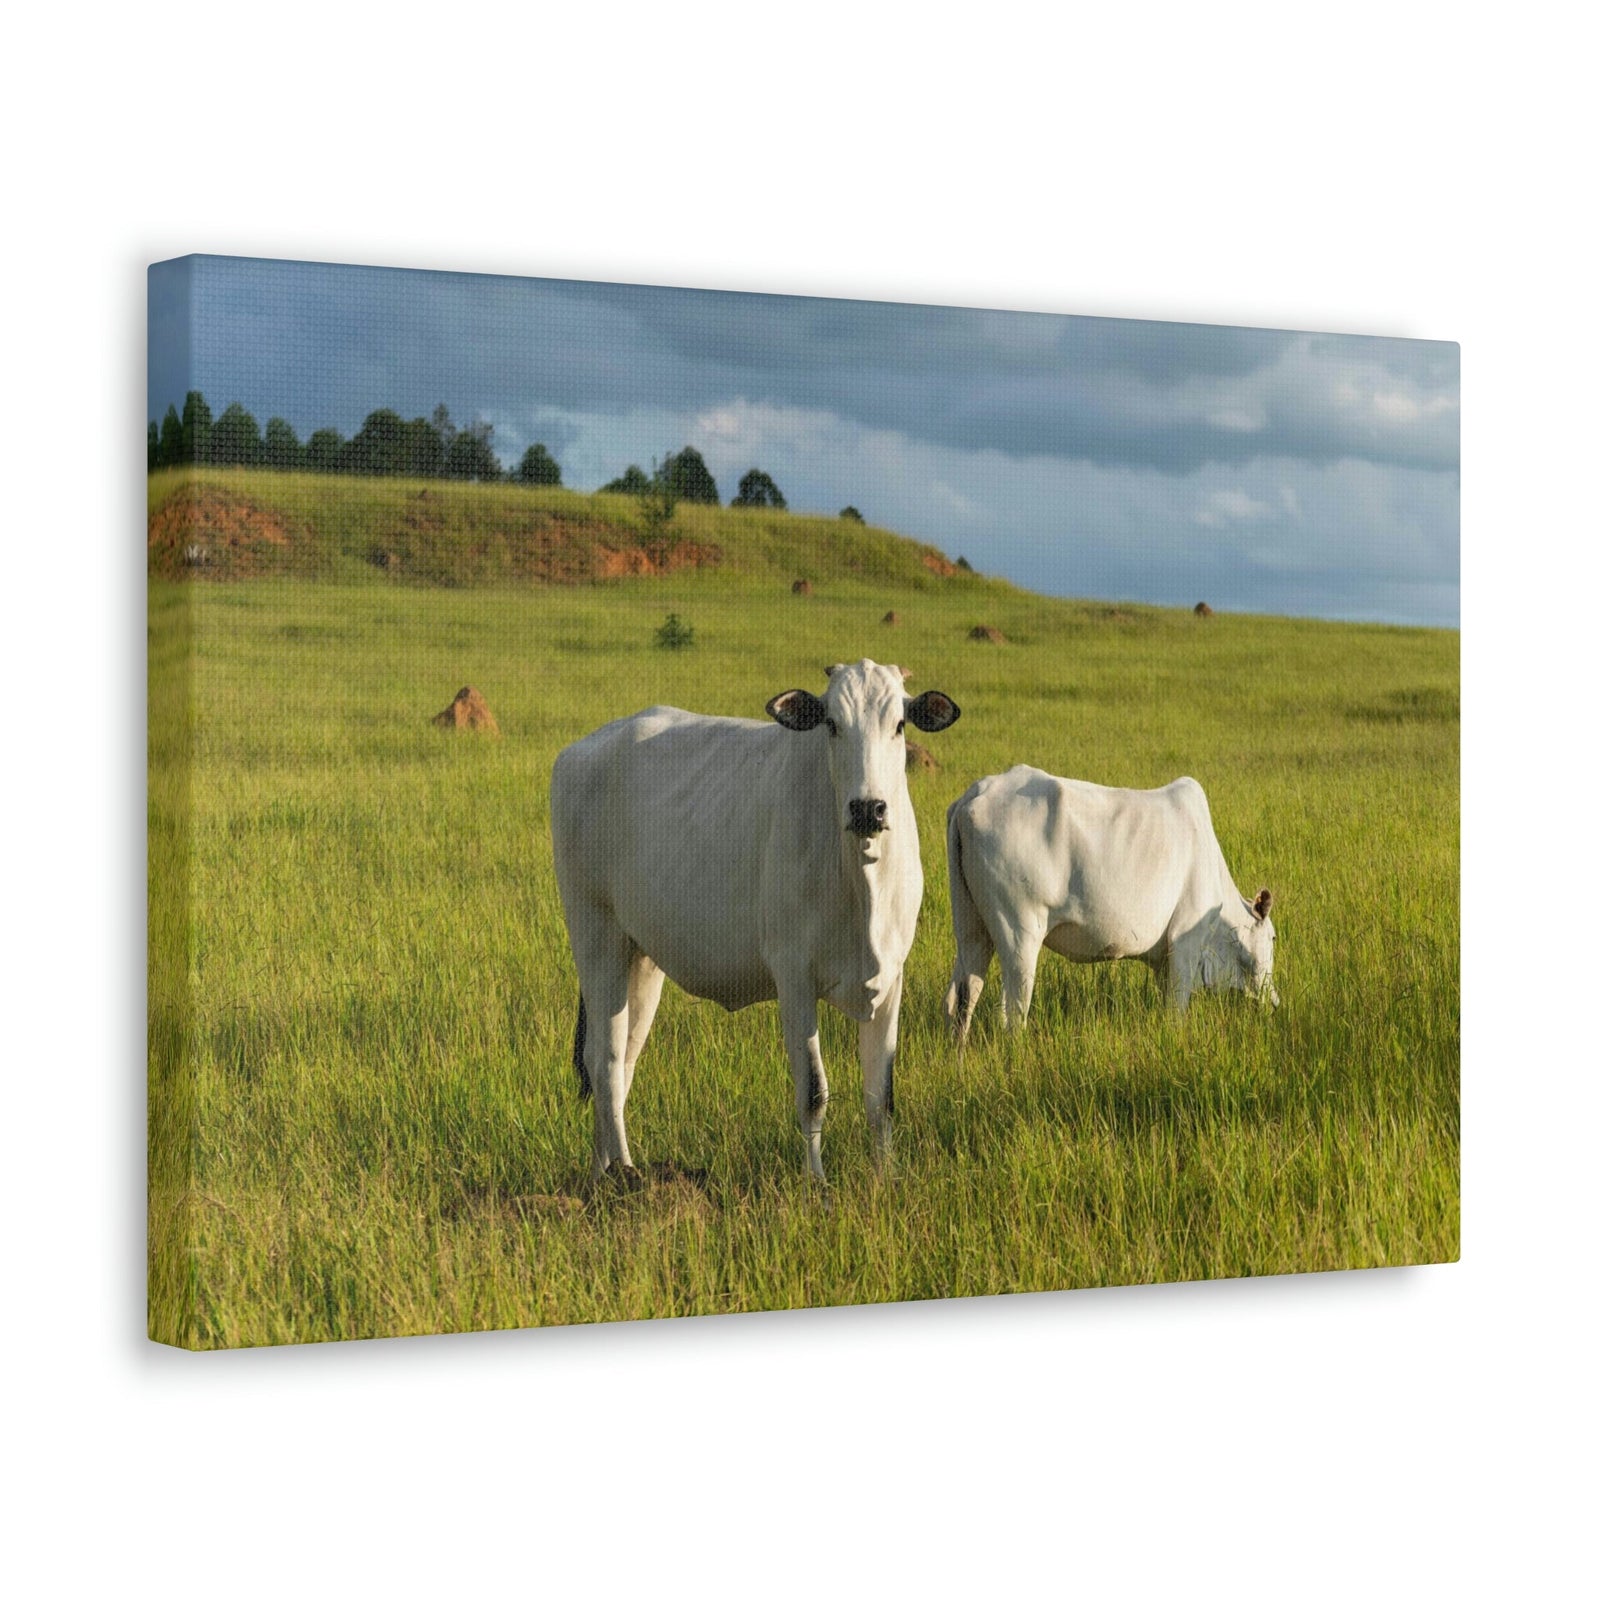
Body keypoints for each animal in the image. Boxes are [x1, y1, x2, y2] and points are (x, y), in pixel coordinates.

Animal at [551, 659, 961, 1186]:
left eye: (899, 725)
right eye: (832, 723)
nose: (868, 808)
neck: (860, 876)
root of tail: (583, 750)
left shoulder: (891, 978)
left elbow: (881, 1097)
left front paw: (885, 1178)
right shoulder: (794, 978)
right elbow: (813, 1092)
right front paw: (816, 1183)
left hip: (639, 957)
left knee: (621, 1060)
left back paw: (602, 1174)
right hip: (594, 935)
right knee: (603, 1060)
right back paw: (625, 1174)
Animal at [943, 766, 1277, 1041]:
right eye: (1273, 937)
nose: (1274, 1002)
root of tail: (976, 793)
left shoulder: (1165, 959)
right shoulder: (1185, 942)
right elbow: (1176, 1007)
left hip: (971, 927)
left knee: (961, 997)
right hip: (1019, 931)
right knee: (1012, 1012)